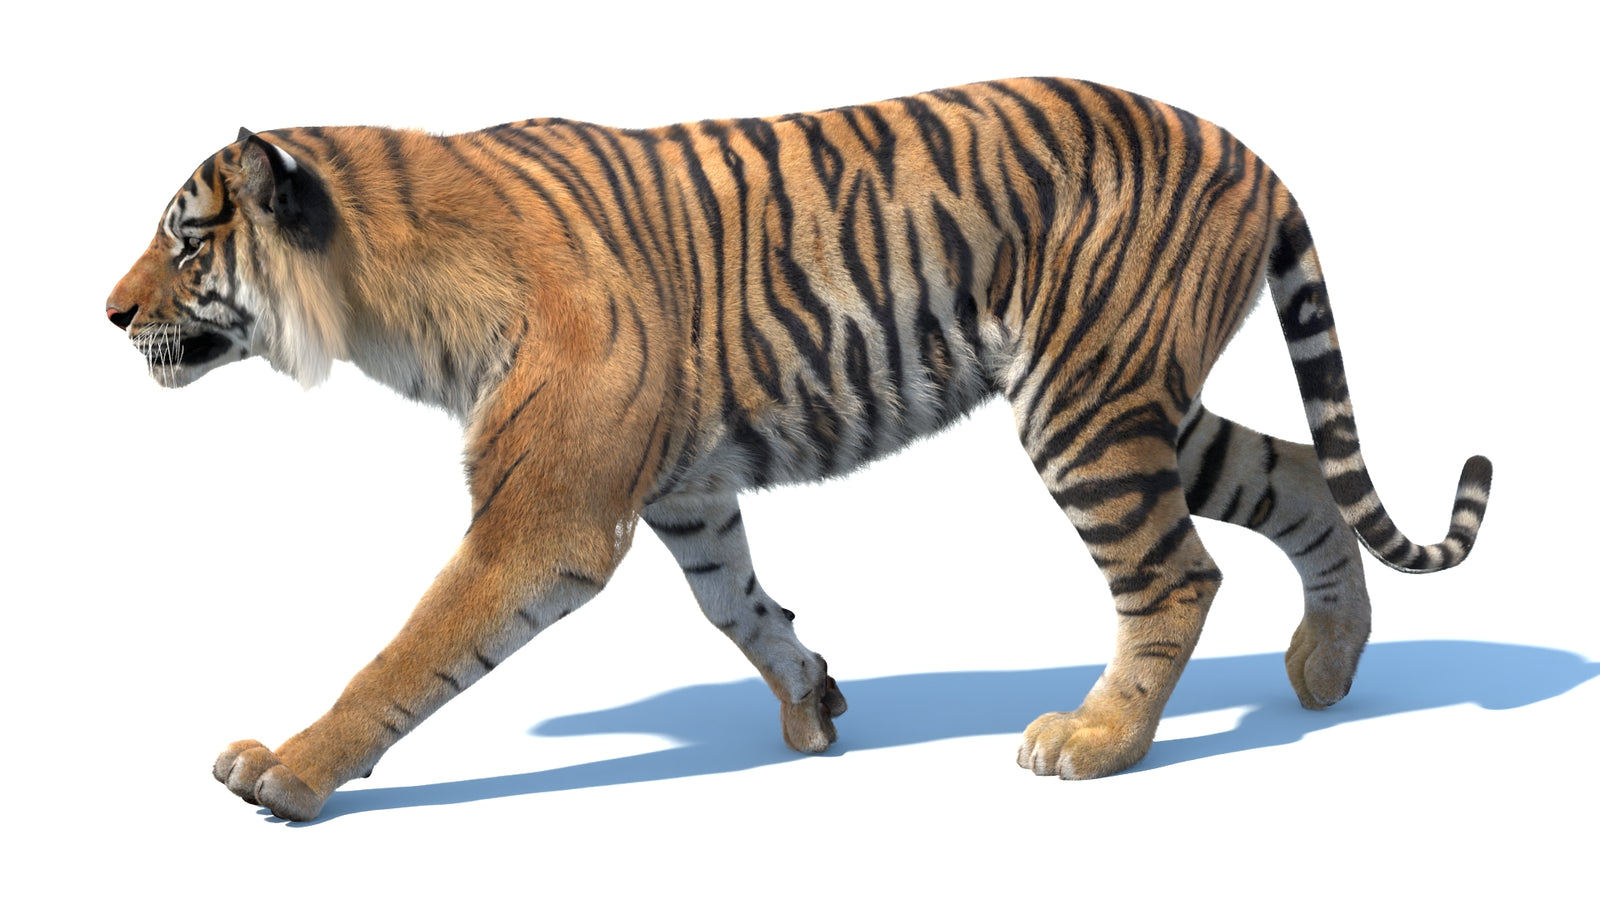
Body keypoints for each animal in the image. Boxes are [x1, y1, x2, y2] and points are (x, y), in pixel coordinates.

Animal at [106, 77, 1491, 821]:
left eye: (185, 240)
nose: (108, 314)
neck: (385, 292)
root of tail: (1254, 155)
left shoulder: (542, 517)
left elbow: (406, 653)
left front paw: (287, 772)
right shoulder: (684, 489)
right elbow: (736, 603)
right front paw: (812, 699)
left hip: (1086, 403)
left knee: (1178, 575)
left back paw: (1094, 744)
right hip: (1143, 402)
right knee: (1300, 473)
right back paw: (1323, 670)